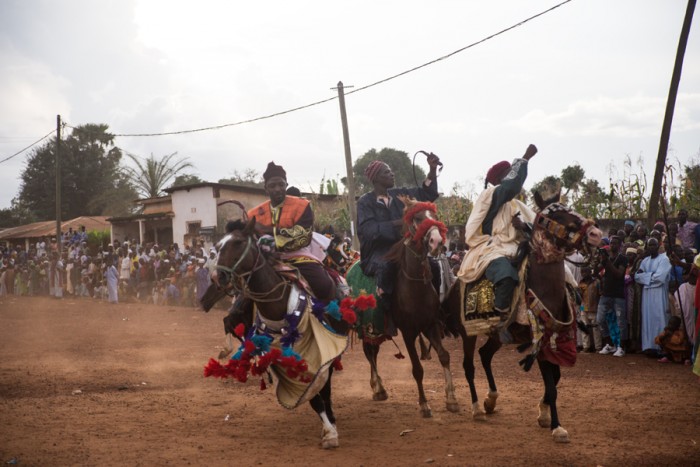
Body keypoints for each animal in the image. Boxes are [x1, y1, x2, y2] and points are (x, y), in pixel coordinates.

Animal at [205, 219, 352, 450]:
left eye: (238, 243)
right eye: (218, 247)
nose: (216, 277)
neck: (278, 304)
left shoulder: (321, 352)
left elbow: (318, 390)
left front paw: (330, 433)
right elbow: (312, 395)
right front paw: (328, 429)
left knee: (327, 386)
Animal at [348, 196, 460, 418]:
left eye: (434, 215)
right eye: (417, 218)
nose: (437, 242)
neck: (415, 286)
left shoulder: (431, 325)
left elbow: (444, 356)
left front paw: (451, 398)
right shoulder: (408, 332)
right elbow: (417, 369)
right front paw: (424, 405)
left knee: (372, 351)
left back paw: (378, 387)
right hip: (367, 326)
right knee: (369, 351)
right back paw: (378, 388)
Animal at [442, 190, 600, 442]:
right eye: (557, 215)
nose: (595, 234)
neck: (544, 288)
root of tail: (457, 281)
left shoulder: (553, 339)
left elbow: (555, 379)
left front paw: (543, 414)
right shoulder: (540, 341)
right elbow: (552, 385)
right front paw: (556, 426)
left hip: (497, 334)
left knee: (485, 355)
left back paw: (490, 399)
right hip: (469, 333)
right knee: (469, 365)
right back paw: (476, 408)